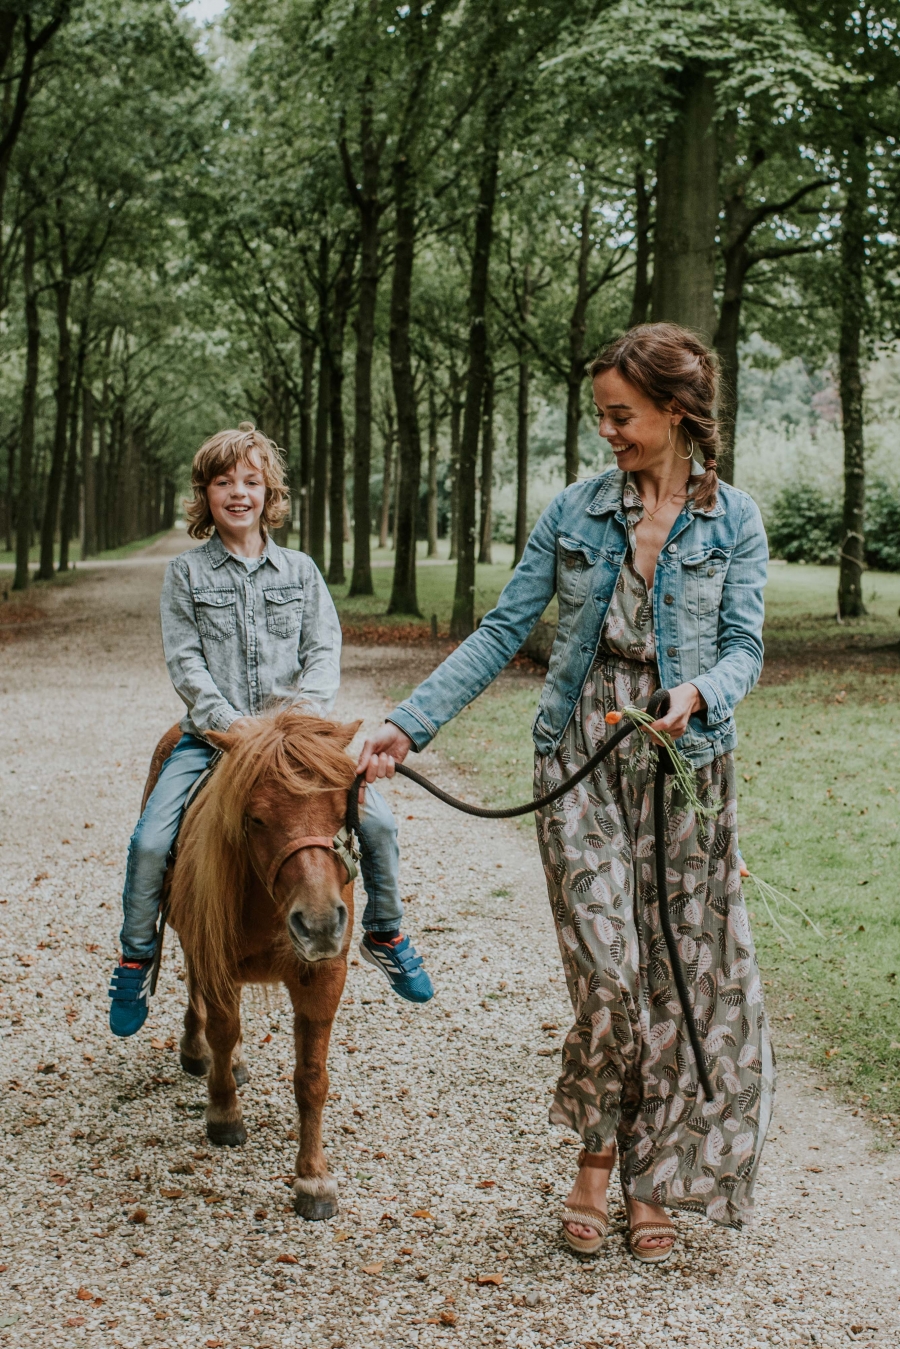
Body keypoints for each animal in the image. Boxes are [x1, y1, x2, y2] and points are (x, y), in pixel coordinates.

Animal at [142, 706, 361, 1224]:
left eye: (342, 810)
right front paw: (224, 1115)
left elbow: (311, 1077)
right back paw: (196, 1050)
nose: (320, 924)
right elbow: (223, 1032)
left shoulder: (324, 978)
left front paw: (313, 1178)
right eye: (256, 817)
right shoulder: (214, 956)